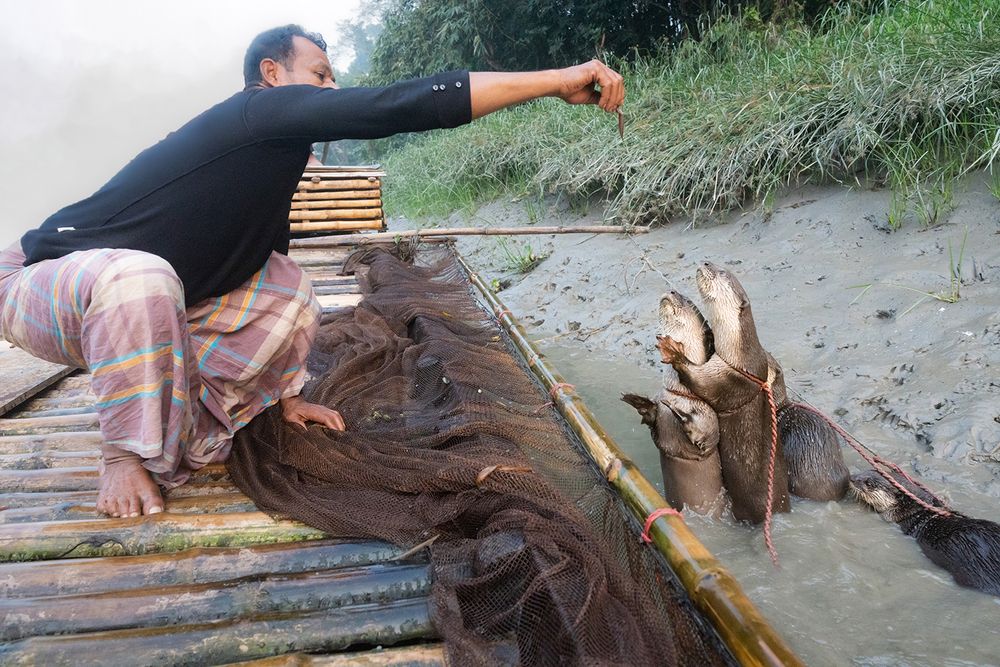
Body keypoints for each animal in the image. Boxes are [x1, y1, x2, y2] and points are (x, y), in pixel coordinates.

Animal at [622, 291, 724, 514]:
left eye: (689, 301)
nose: (672, 292)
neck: (678, 393)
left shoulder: (708, 415)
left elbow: (709, 437)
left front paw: (680, 414)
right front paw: (640, 403)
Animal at [657, 263, 790, 524]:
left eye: (723, 273)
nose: (707, 262)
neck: (739, 356)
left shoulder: (728, 377)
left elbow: (701, 382)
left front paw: (676, 354)